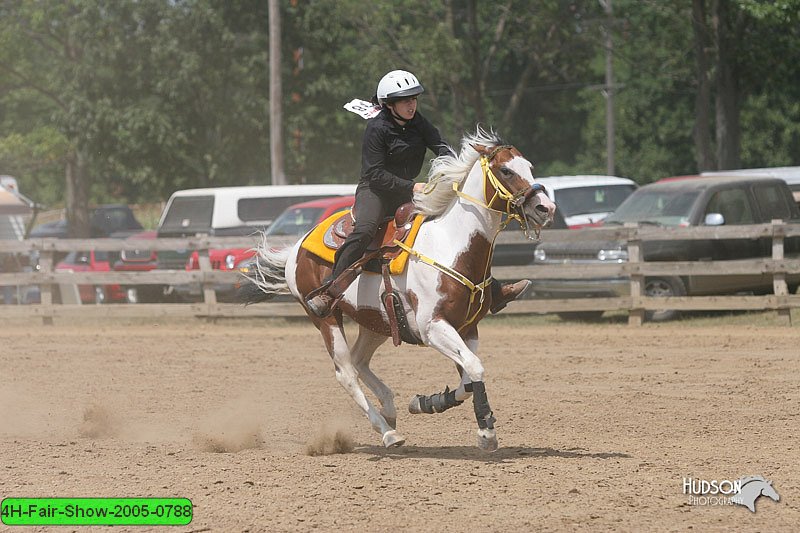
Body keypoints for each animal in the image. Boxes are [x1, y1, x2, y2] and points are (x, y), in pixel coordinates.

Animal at [242, 128, 556, 448]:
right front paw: (486, 431)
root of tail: (297, 247)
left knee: (360, 360)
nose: (546, 208)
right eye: (506, 170)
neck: (450, 245)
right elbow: (475, 367)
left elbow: (468, 378)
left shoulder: (468, 329)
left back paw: (390, 410)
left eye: (529, 167)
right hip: (325, 319)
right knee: (346, 372)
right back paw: (387, 431)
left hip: (376, 322)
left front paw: (427, 402)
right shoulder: (433, 327)